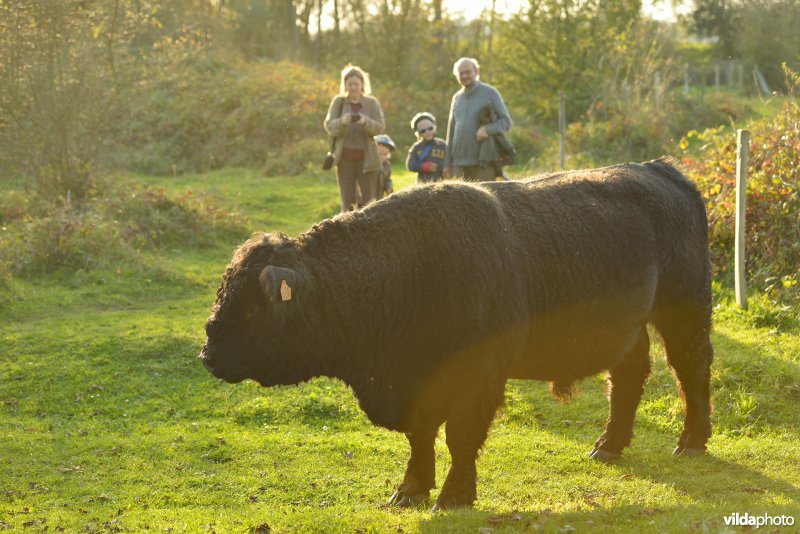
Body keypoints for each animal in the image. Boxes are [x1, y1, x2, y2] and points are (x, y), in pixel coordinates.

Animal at [200, 158, 712, 510]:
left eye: (252, 308)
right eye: (225, 294)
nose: (208, 354)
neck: (400, 272)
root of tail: (660, 170)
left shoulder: (477, 380)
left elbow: (459, 438)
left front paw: (453, 496)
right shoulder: (416, 383)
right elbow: (421, 438)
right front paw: (409, 491)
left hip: (684, 309)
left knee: (691, 369)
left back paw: (691, 442)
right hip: (631, 327)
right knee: (628, 376)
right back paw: (608, 447)